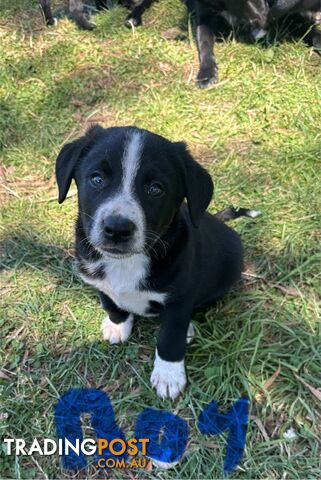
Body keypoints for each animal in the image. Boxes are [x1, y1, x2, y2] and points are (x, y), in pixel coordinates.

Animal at [56, 125, 249, 400]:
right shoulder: (98, 281)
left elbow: (170, 337)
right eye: (96, 179)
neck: (127, 263)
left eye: (156, 189)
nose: (117, 229)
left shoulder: (180, 298)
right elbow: (111, 303)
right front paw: (117, 326)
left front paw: (169, 376)